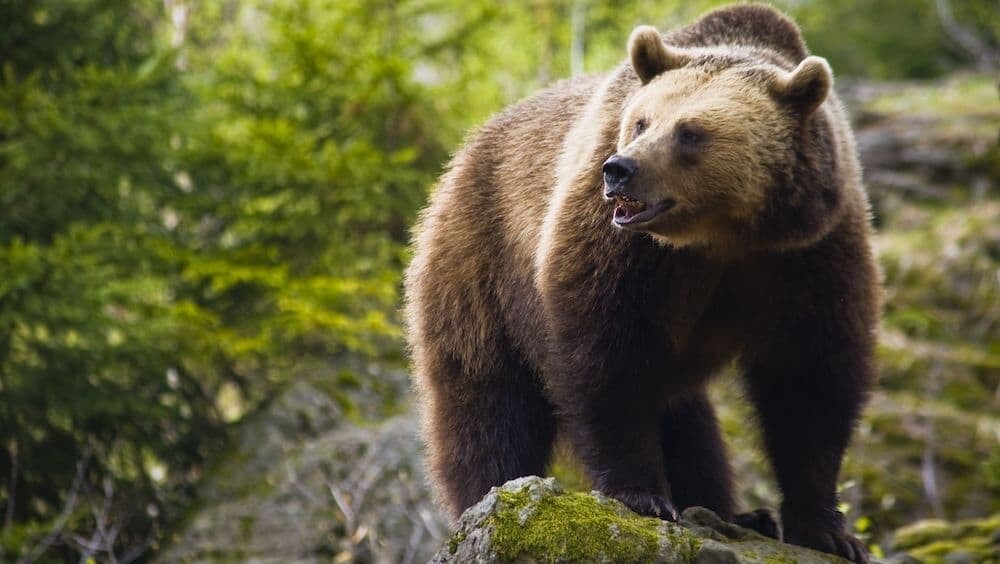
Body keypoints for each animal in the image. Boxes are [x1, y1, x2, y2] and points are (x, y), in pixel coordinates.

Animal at [404, 5, 876, 564]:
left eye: (691, 132)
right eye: (641, 121)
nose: (620, 169)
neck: (720, 237)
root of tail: (465, 150)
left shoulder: (807, 254)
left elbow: (810, 377)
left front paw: (827, 529)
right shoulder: (622, 251)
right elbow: (606, 360)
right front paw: (641, 495)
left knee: (687, 419)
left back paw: (734, 512)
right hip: (479, 262)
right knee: (486, 399)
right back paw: (488, 492)